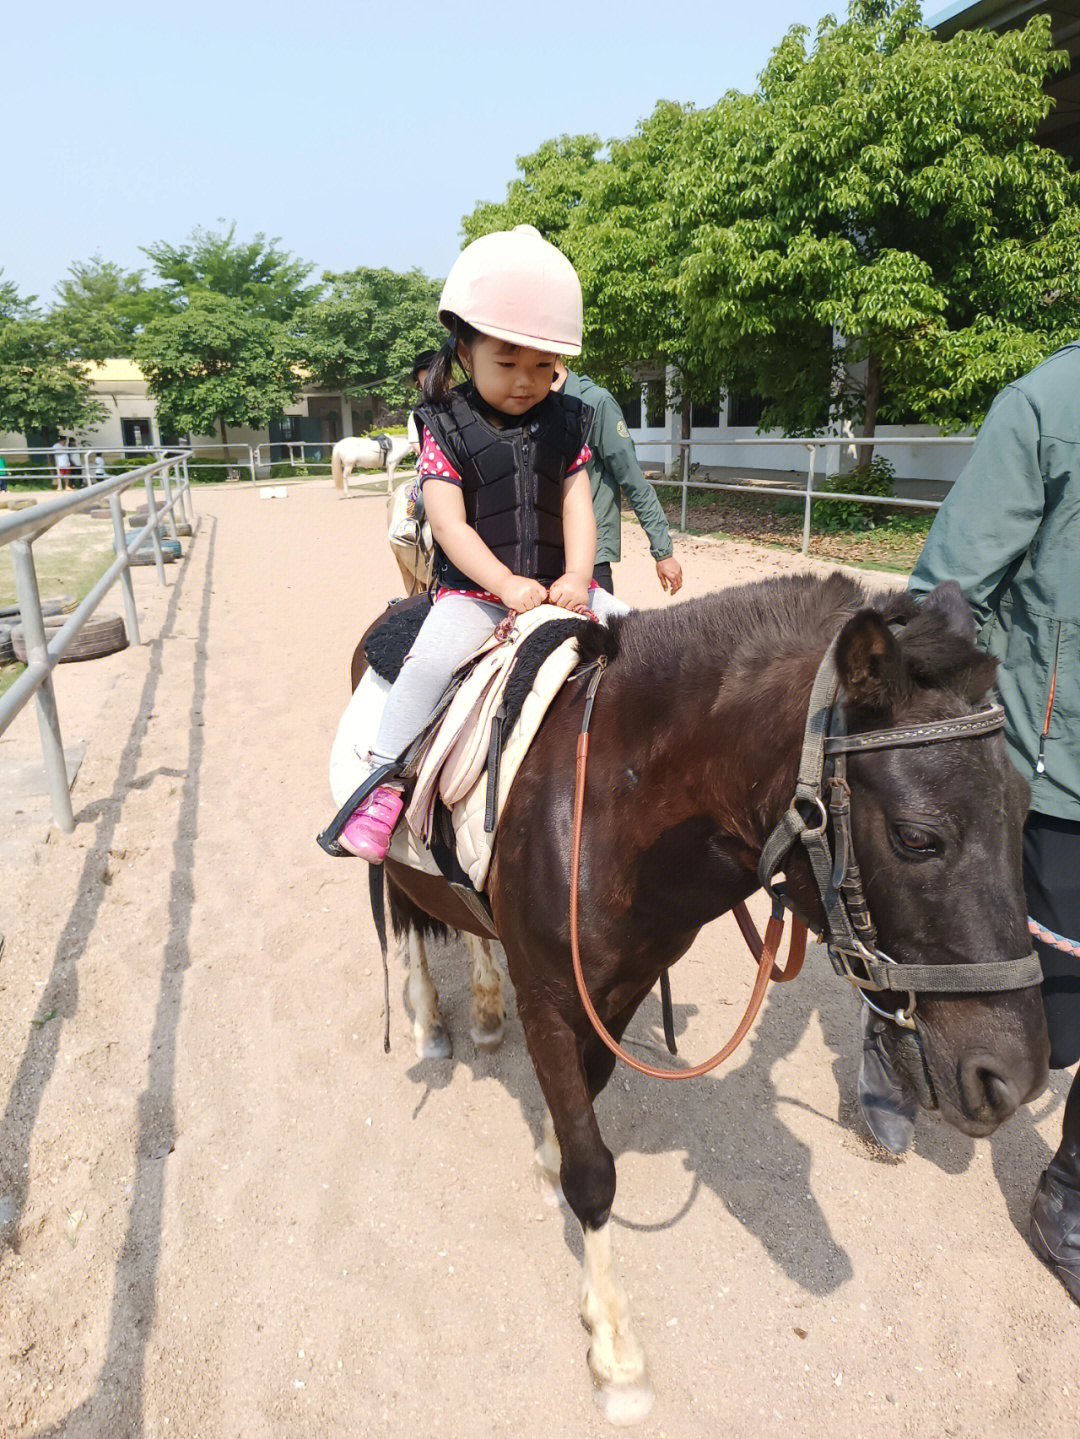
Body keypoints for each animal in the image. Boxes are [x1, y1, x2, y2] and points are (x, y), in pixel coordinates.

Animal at [379, 569, 1046, 1415]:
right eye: (917, 837)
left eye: (1025, 809)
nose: (1015, 1076)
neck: (605, 805)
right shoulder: (552, 997)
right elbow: (593, 1171)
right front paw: (615, 1349)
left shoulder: (621, 986)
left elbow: (584, 1099)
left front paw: (546, 1151)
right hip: (388, 865)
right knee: (401, 919)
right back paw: (429, 1021)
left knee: (465, 921)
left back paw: (486, 1007)